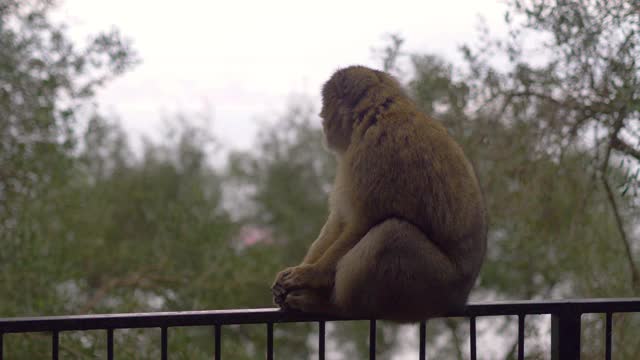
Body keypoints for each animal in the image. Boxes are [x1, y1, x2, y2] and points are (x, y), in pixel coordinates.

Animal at [270, 65, 484, 324]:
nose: (321, 118)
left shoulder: (375, 149)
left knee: (391, 234)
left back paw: (334, 306)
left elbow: (363, 221)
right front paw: (297, 275)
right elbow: (341, 220)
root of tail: (460, 298)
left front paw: (310, 275)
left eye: (325, 106)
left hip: (434, 286)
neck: (377, 111)